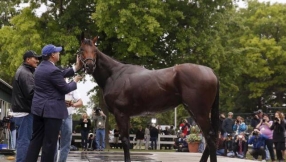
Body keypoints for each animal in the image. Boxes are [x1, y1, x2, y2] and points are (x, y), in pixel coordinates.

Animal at [77, 35, 220, 162]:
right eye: (81, 49)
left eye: (95, 50)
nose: (90, 66)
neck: (114, 74)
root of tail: (211, 72)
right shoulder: (126, 115)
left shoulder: (121, 113)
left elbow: (125, 140)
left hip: (199, 112)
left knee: (210, 138)